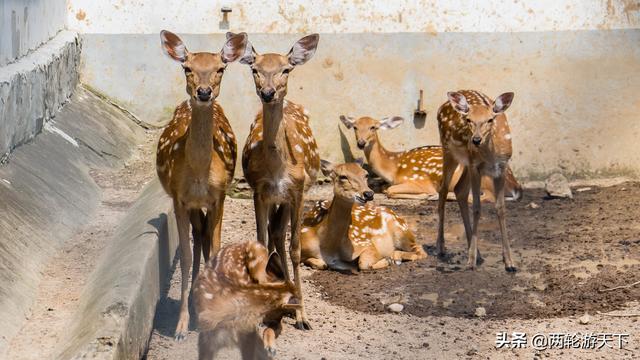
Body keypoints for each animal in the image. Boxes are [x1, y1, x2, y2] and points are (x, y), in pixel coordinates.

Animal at [156, 29, 248, 338]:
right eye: (187, 68)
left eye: (221, 68)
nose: (204, 92)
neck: (198, 173)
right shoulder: (179, 198)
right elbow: (184, 256)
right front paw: (182, 325)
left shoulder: (219, 197)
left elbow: (215, 249)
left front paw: (209, 316)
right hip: (193, 206)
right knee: (199, 238)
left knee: (206, 238)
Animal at [239, 33, 322, 330]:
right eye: (254, 69)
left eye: (286, 69)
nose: (268, 92)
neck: (277, 169)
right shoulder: (258, 190)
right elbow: (261, 244)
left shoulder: (297, 192)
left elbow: (296, 248)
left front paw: (303, 317)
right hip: (276, 199)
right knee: (273, 233)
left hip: (290, 196)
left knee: (278, 233)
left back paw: (291, 297)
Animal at [338, 114, 524, 201]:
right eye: (354, 127)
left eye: (373, 127)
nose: (361, 143)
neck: (393, 166)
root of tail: (515, 184)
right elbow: (384, 188)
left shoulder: (419, 180)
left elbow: (389, 191)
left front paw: (427, 195)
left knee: (487, 197)